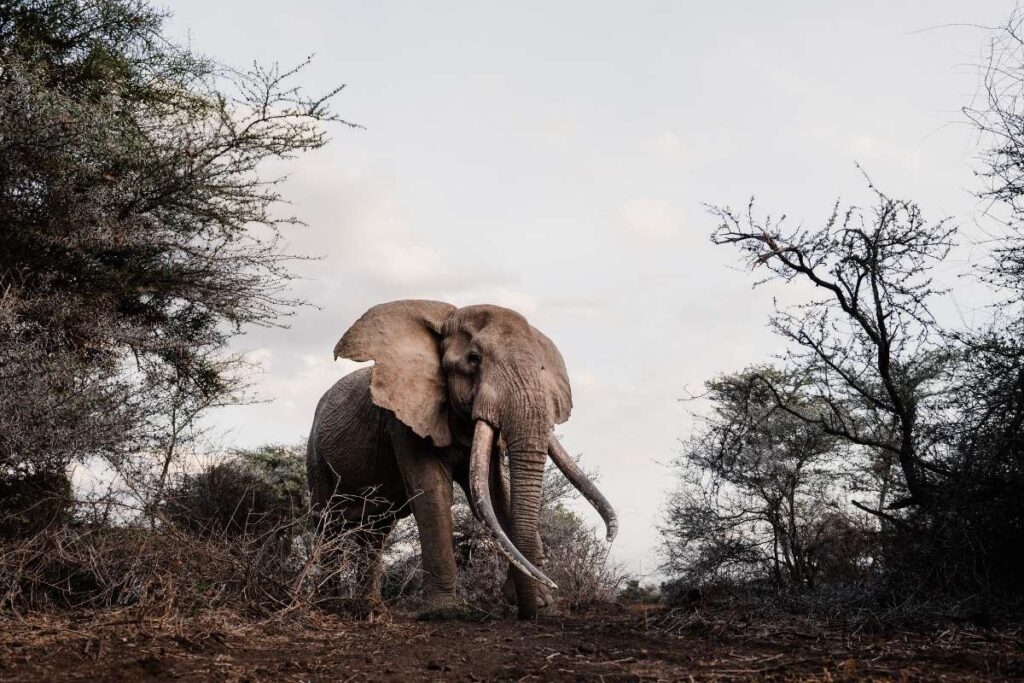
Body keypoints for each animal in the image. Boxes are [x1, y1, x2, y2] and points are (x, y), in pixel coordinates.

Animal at [306, 300, 617, 620]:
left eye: (542, 367)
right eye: (474, 359)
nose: (609, 538)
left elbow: (495, 492)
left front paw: (541, 604)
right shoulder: (404, 419)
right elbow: (433, 495)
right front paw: (444, 611)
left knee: (375, 531)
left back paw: (370, 609)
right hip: (316, 458)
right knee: (328, 524)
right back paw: (328, 606)